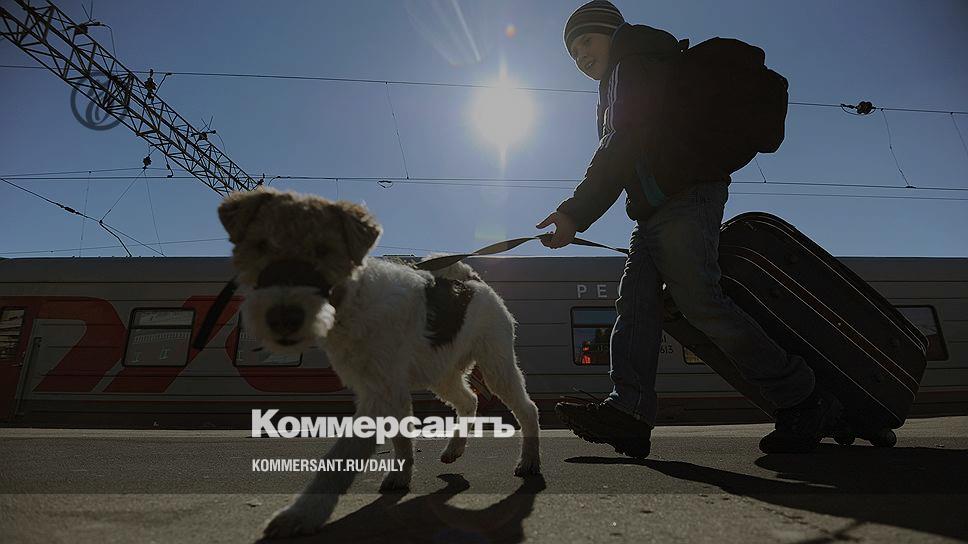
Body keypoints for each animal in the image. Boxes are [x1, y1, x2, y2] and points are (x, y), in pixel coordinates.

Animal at [217, 187, 541, 538]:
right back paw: (454, 449)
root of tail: (473, 282)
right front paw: (401, 476)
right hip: (441, 372)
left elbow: (342, 457)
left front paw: (302, 513)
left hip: (496, 363)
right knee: (469, 400)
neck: (351, 301)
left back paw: (529, 462)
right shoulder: (383, 386)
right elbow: (400, 435)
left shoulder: (380, 389)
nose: (283, 317)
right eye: (260, 245)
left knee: (526, 408)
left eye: (324, 250)